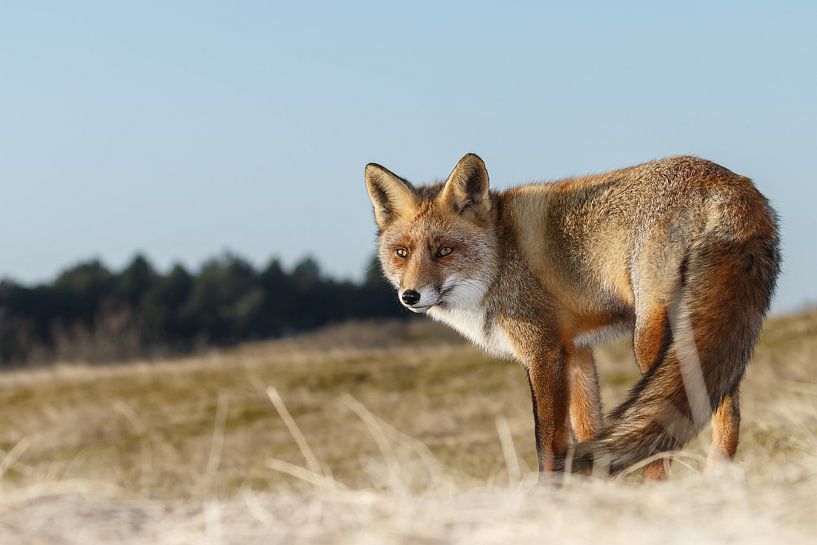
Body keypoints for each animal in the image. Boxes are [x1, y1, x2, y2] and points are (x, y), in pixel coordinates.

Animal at [364, 152, 776, 476]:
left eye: (444, 251)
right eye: (402, 253)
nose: (410, 296)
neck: (500, 257)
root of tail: (729, 182)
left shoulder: (543, 351)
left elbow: (548, 444)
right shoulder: (577, 351)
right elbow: (590, 430)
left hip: (652, 338)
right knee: (727, 414)